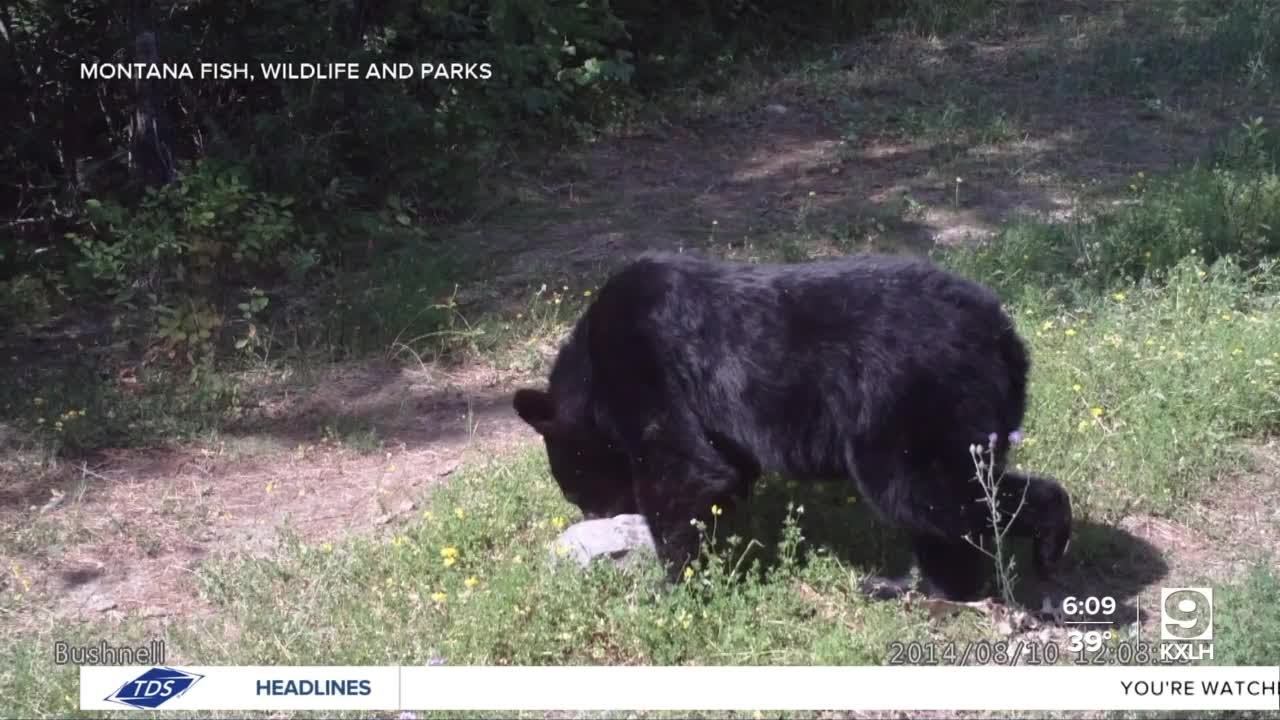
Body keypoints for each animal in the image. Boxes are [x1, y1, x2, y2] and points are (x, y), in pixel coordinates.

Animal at [513, 251, 1072, 601]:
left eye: (573, 486)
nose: (597, 514)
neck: (591, 368)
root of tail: (1005, 337)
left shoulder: (644, 364)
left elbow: (682, 467)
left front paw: (671, 586)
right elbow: (722, 470)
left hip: (915, 400)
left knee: (930, 492)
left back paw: (1049, 545)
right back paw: (909, 586)